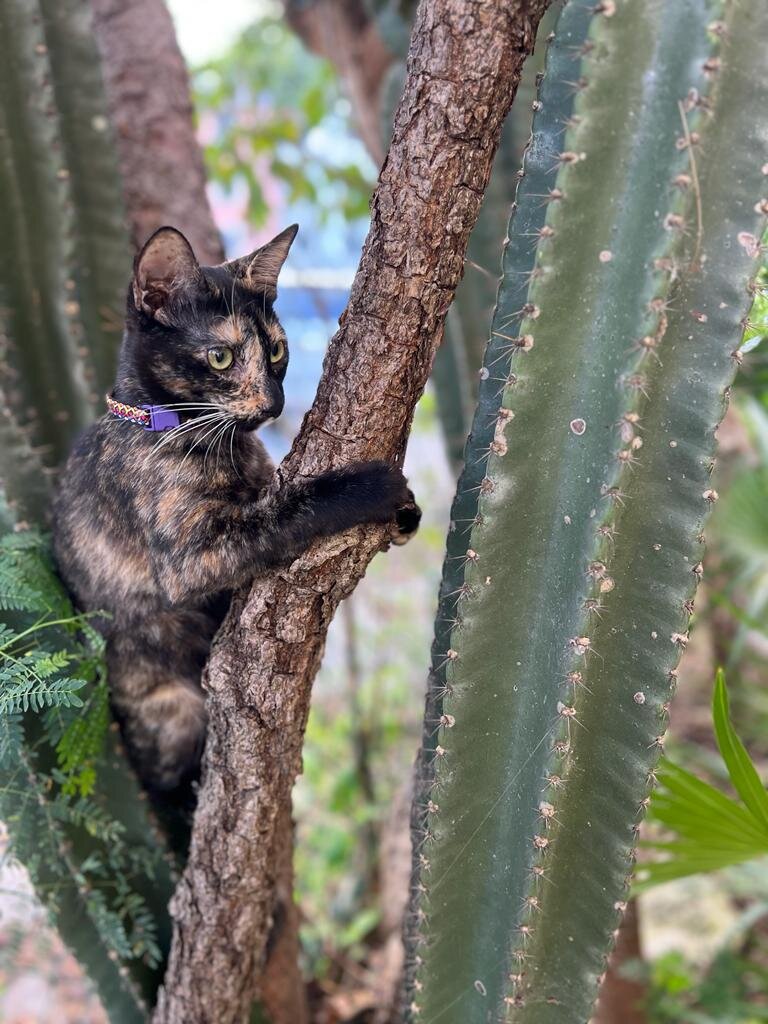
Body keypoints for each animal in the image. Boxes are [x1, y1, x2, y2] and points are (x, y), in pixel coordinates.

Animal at [51, 226, 423, 798]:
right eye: (221, 357)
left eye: (276, 349)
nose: (274, 404)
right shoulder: (191, 559)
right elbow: (287, 510)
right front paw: (371, 487)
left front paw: (406, 513)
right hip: (173, 709)